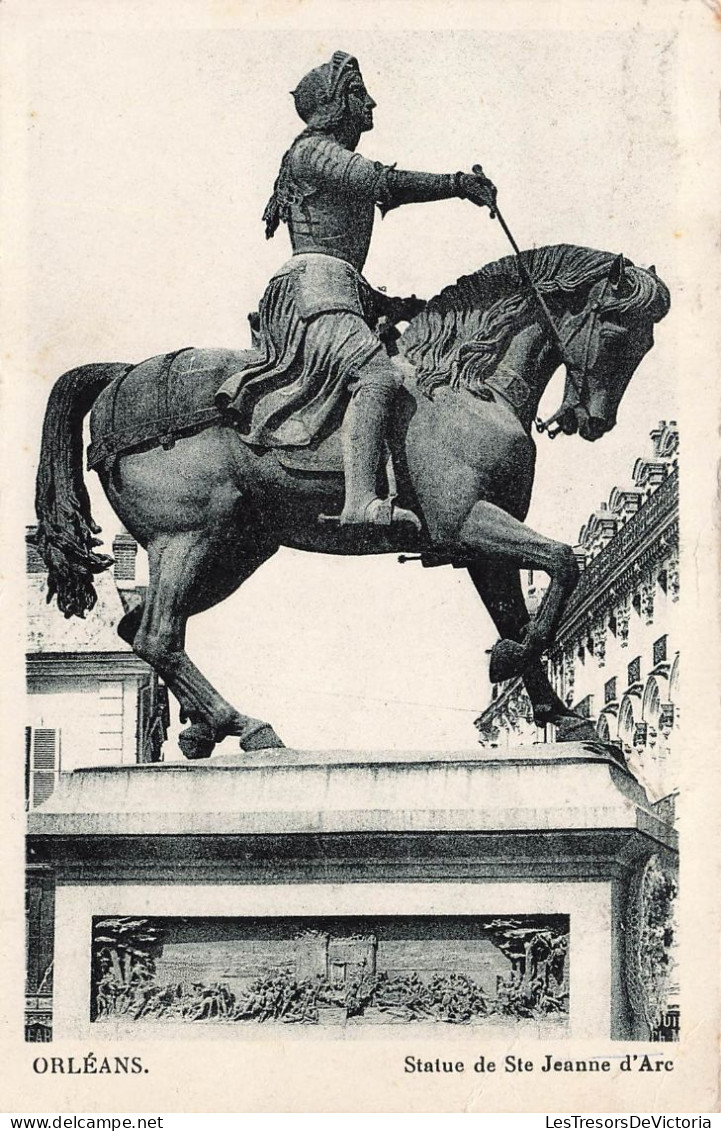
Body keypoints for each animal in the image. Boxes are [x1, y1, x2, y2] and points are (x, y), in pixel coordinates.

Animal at [33, 246, 670, 760]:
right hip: (190, 539)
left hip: (233, 552)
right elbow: (563, 561)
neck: (465, 385)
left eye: (645, 341)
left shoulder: (483, 546)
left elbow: (521, 606)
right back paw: (247, 727)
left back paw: (207, 727)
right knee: (158, 634)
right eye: (616, 328)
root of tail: (121, 379)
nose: (593, 421)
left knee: (140, 627)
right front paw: (509, 659)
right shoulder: (466, 522)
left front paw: (559, 714)